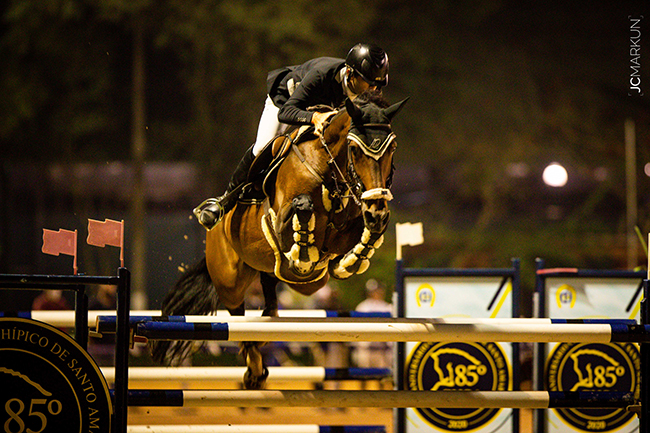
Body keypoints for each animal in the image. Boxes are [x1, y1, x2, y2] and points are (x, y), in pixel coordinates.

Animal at [151, 90, 404, 388]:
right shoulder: (279, 223)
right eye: (354, 149)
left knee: (269, 312)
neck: (328, 168)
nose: (376, 210)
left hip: (292, 281)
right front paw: (305, 251)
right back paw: (254, 371)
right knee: (239, 321)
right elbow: (301, 211)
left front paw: (356, 255)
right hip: (229, 280)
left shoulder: (342, 233)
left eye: (392, 148)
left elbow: (352, 241)